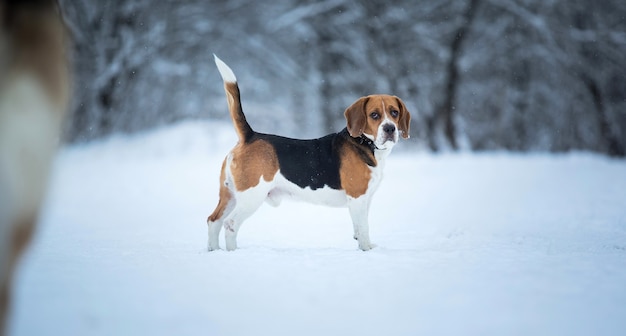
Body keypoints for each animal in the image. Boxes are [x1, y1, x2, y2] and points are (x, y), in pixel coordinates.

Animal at [206, 55, 410, 251]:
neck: (365, 143)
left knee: (213, 221)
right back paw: (233, 251)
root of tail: (250, 136)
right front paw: (367, 250)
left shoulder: (366, 199)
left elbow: (359, 229)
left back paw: (214, 251)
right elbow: (363, 228)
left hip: (229, 196)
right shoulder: (358, 197)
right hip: (251, 197)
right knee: (230, 224)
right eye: (374, 115)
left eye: (394, 112)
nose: (390, 129)